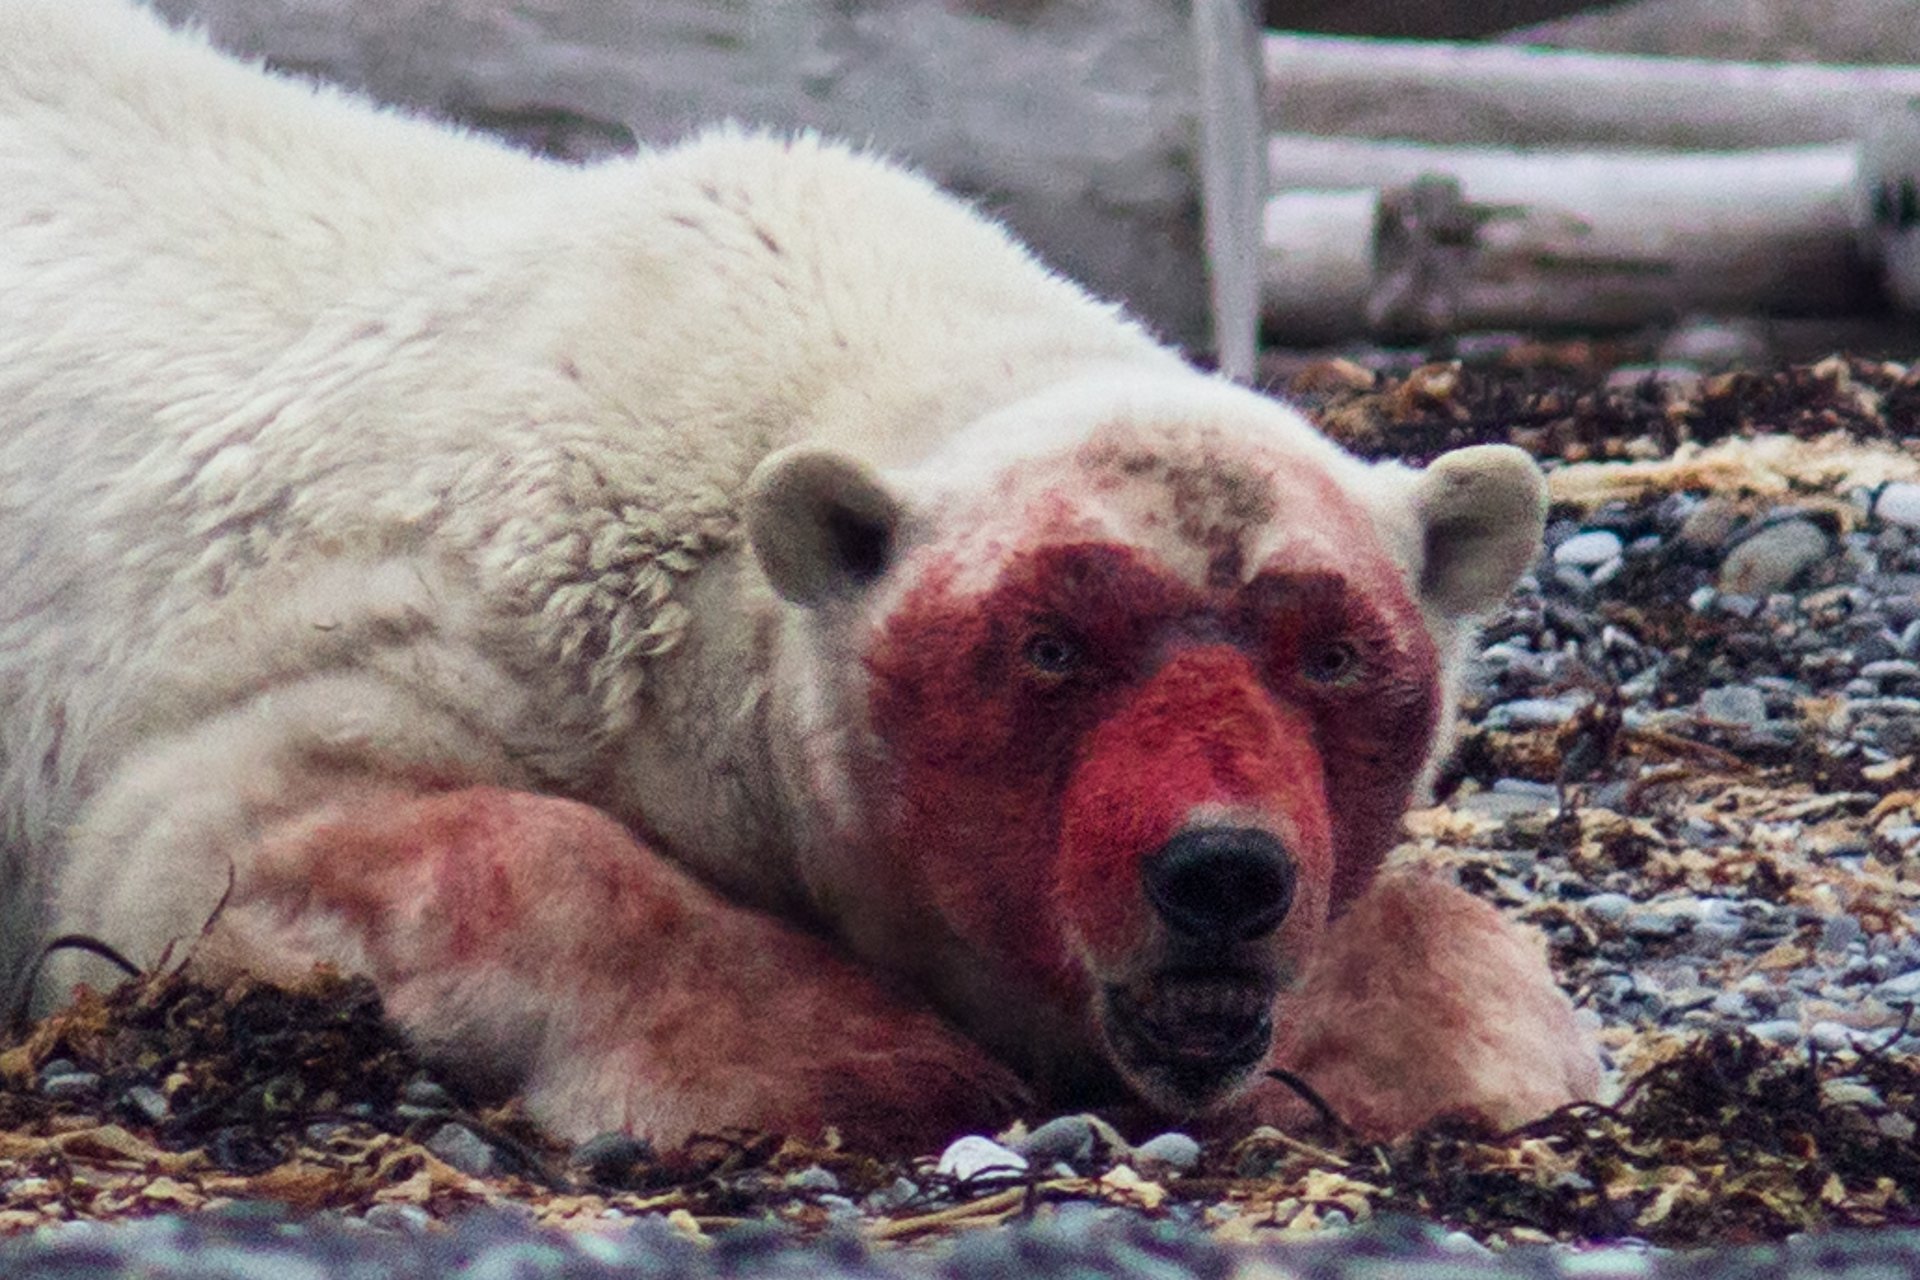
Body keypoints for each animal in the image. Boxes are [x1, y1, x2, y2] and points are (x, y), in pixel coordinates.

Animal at [0, 0, 1601, 1150]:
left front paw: (1463, 1042)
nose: (1222, 871)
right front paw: (867, 1056)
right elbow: (213, 837)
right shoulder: (426, 624)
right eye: (1050, 645)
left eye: (1331, 651)